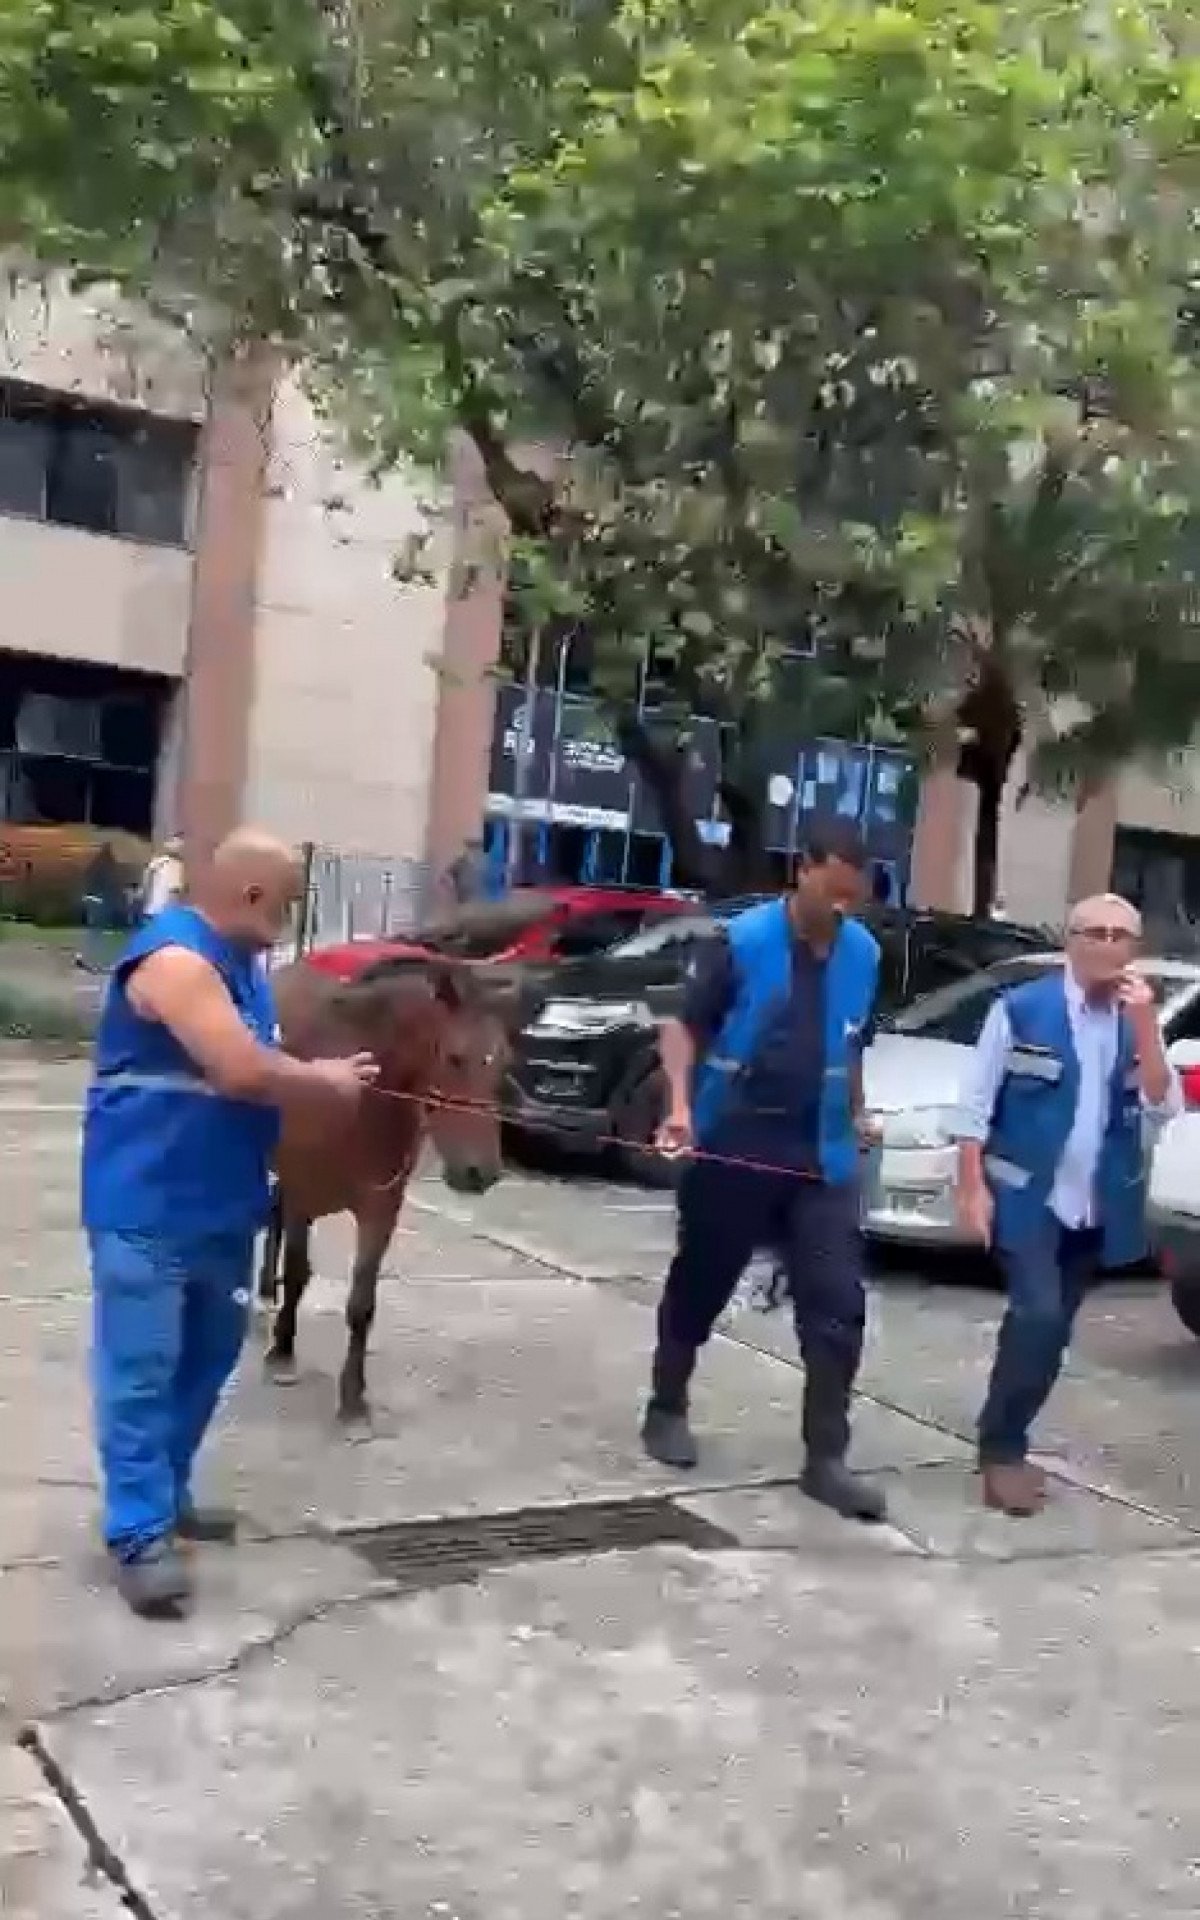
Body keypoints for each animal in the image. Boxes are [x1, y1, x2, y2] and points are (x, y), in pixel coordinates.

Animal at [257, 960, 506, 1428]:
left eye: (502, 1063)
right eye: (455, 1057)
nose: (480, 1173)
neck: (361, 1097)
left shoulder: (380, 1210)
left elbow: (362, 1306)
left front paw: (354, 1399)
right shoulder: (303, 1192)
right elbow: (298, 1272)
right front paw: (282, 1352)